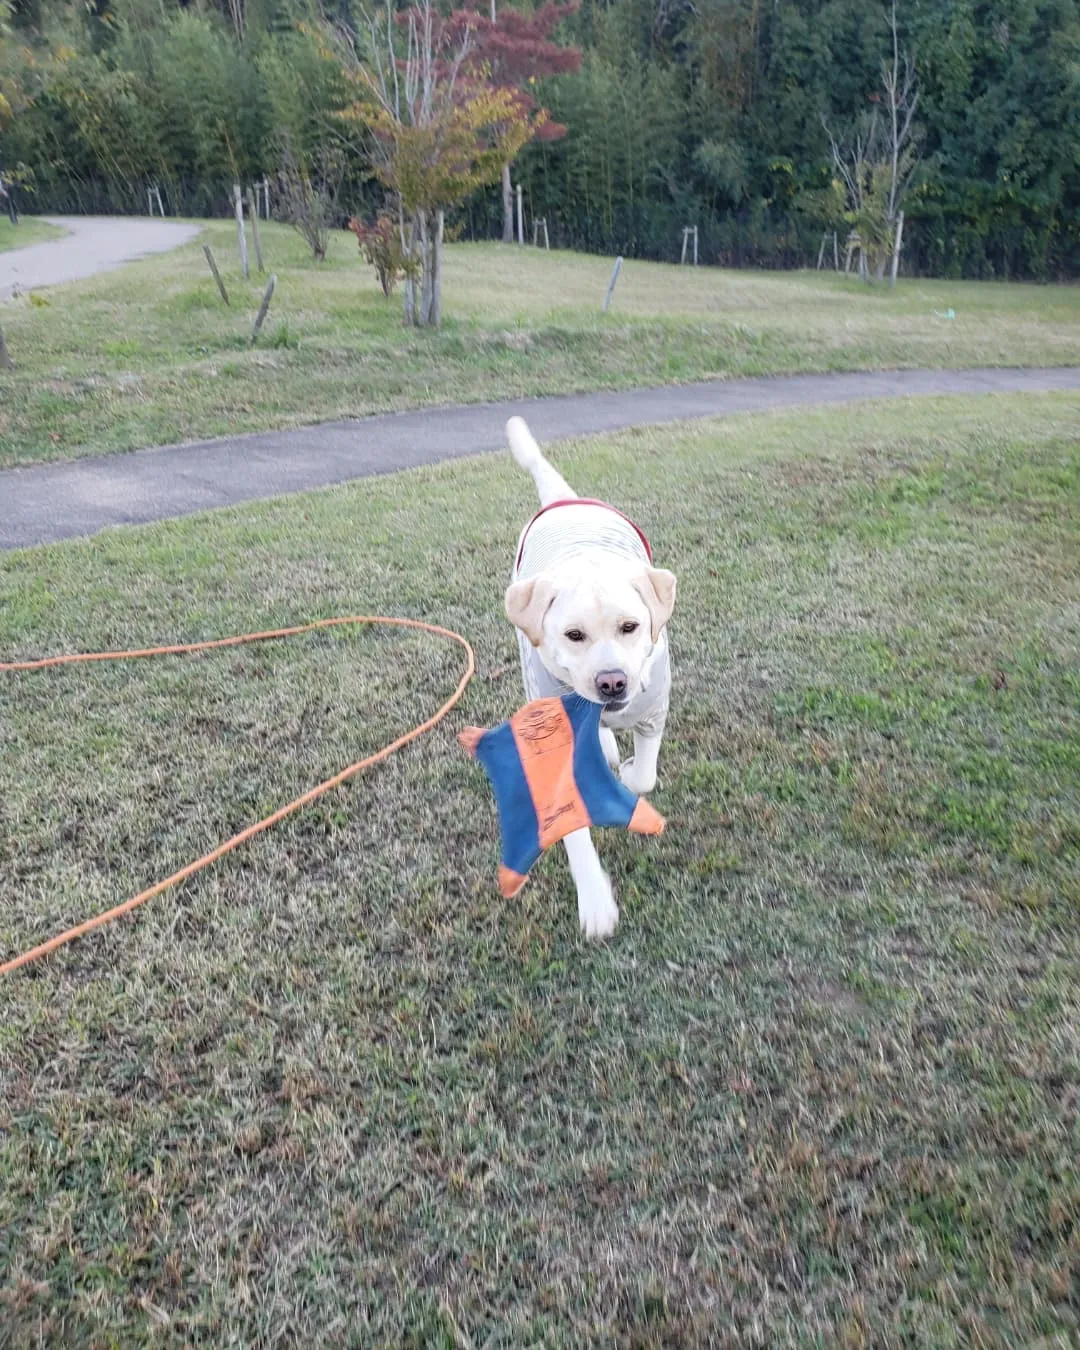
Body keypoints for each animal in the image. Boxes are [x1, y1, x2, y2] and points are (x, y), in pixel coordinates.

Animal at [504, 418, 675, 939]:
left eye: (630, 627)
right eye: (574, 635)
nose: (612, 683)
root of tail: (565, 500)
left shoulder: (654, 707)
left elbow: (643, 777)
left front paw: (629, 772)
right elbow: (571, 824)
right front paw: (596, 900)